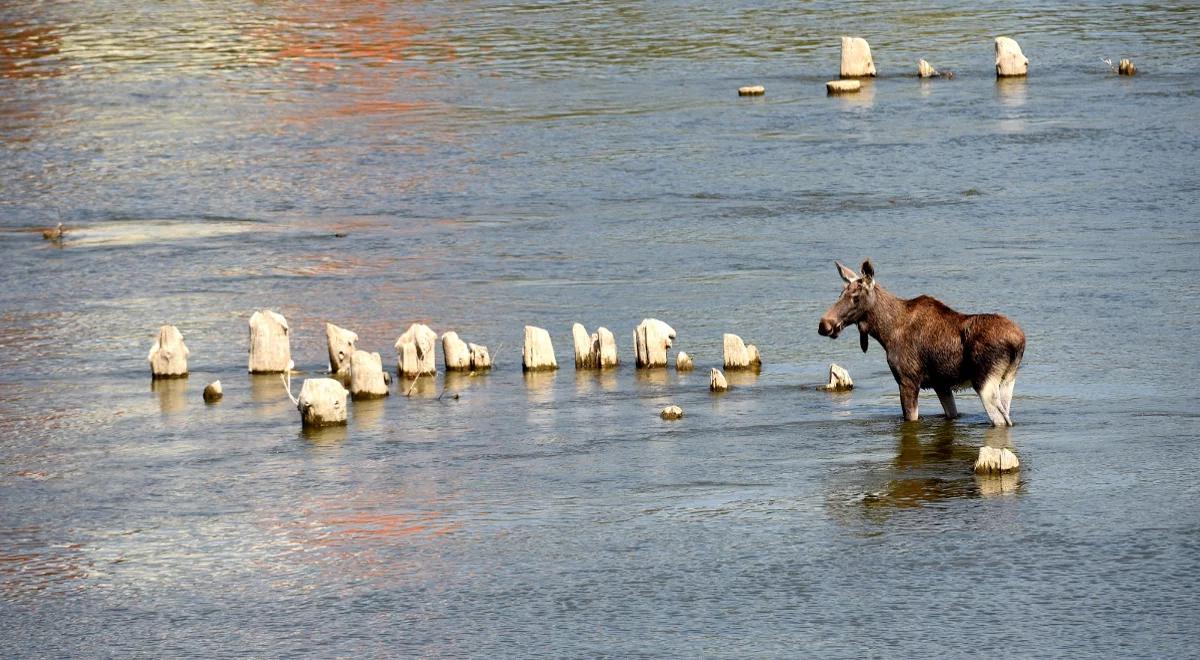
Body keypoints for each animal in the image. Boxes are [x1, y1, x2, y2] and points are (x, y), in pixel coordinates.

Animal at [820, 261, 1027, 427]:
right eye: (841, 293)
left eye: (855, 297)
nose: (824, 324)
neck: (885, 332)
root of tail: (1018, 341)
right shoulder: (941, 384)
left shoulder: (908, 380)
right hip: (1008, 380)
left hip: (985, 382)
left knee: (1001, 421)